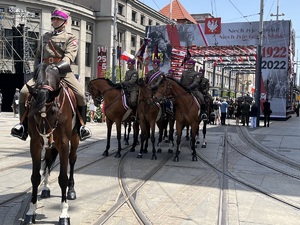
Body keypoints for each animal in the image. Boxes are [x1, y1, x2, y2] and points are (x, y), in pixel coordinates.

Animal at [24, 63, 78, 225]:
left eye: (54, 111)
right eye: (34, 111)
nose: (47, 137)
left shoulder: (63, 144)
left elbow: (63, 178)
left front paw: (64, 214)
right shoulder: (35, 144)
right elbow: (35, 177)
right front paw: (31, 212)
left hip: (74, 139)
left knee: (72, 160)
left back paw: (71, 191)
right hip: (48, 147)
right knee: (48, 162)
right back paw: (46, 188)